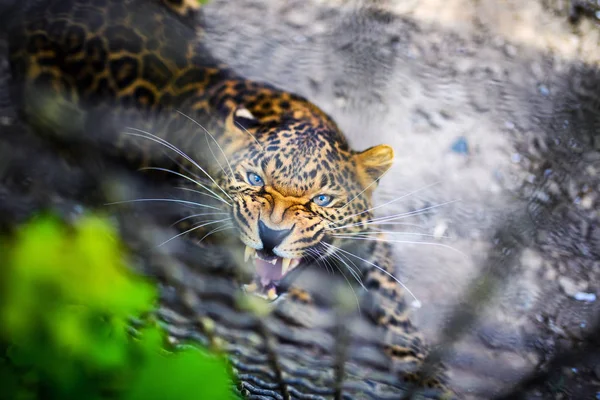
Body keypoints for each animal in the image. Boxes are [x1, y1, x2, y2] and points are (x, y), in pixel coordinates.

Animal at [4, 0, 452, 396]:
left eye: (322, 200)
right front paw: (299, 304)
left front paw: (424, 369)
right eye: (254, 180)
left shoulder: (371, 238)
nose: (271, 234)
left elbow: (390, 293)